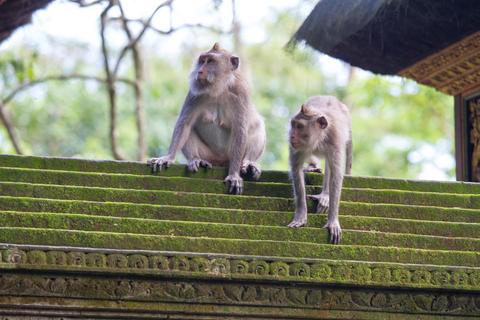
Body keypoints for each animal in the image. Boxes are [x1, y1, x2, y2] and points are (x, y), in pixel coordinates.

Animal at [148, 43, 266, 195]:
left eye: (210, 61)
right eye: (202, 60)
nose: (199, 71)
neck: (219, 89)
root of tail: (221, 161)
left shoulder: (240, 93)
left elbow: (240, 130)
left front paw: (234, 175)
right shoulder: (194, 93)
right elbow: (185, 123)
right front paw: (168, 157)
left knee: (258, 126)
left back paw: (250, 163)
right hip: (209, 155)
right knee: (190, 129)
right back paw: (196, 160)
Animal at [288, 95, 352, 245]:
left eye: (300, 126)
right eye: (293, 125)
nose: (291, 136)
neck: (319, 139)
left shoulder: (335, 141)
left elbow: (336, 176)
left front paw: (333, 221)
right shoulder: (297, 147)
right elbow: (296, 169)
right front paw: (300, 215)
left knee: (330, 166)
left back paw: (325, 196)